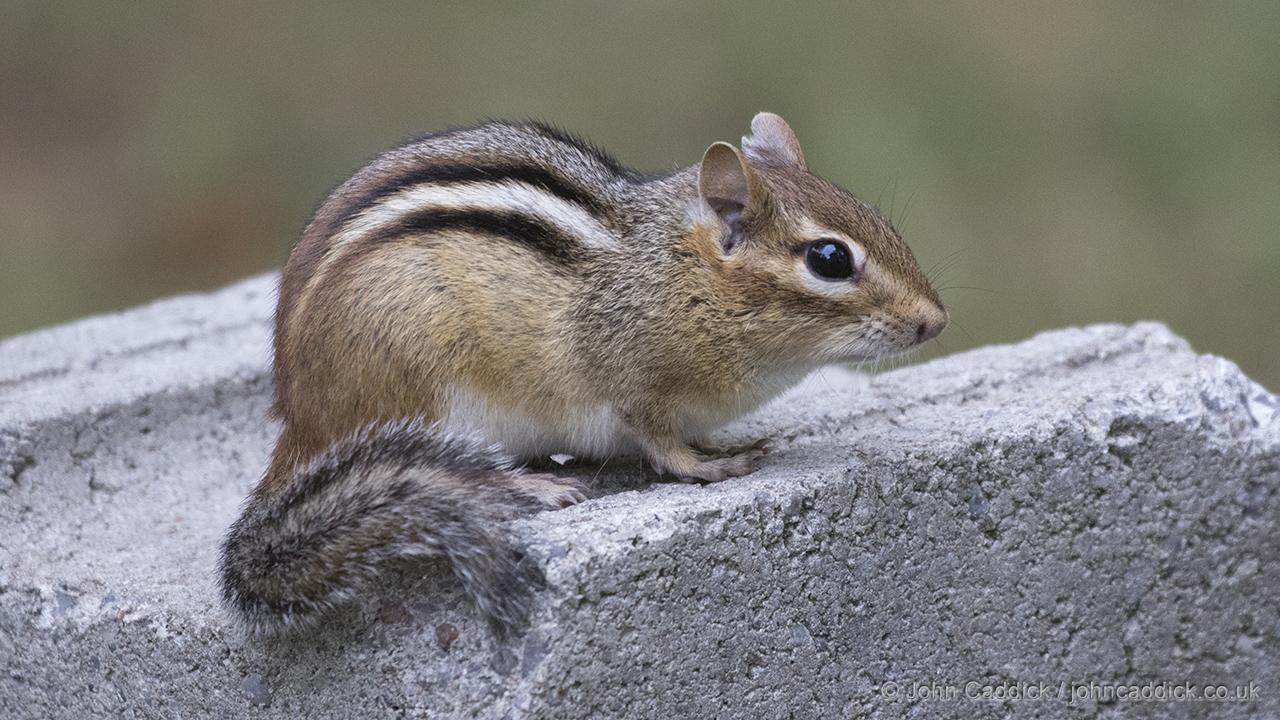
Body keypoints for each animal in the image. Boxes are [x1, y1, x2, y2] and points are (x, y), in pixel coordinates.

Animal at [219, 113, 946, 641]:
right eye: (829, 258)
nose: (935, 322)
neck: (679, 275)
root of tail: (300, 424)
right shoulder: (634, 389)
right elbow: (663, 446)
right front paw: (711, 465)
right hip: (426, 393)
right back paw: (536, 484)